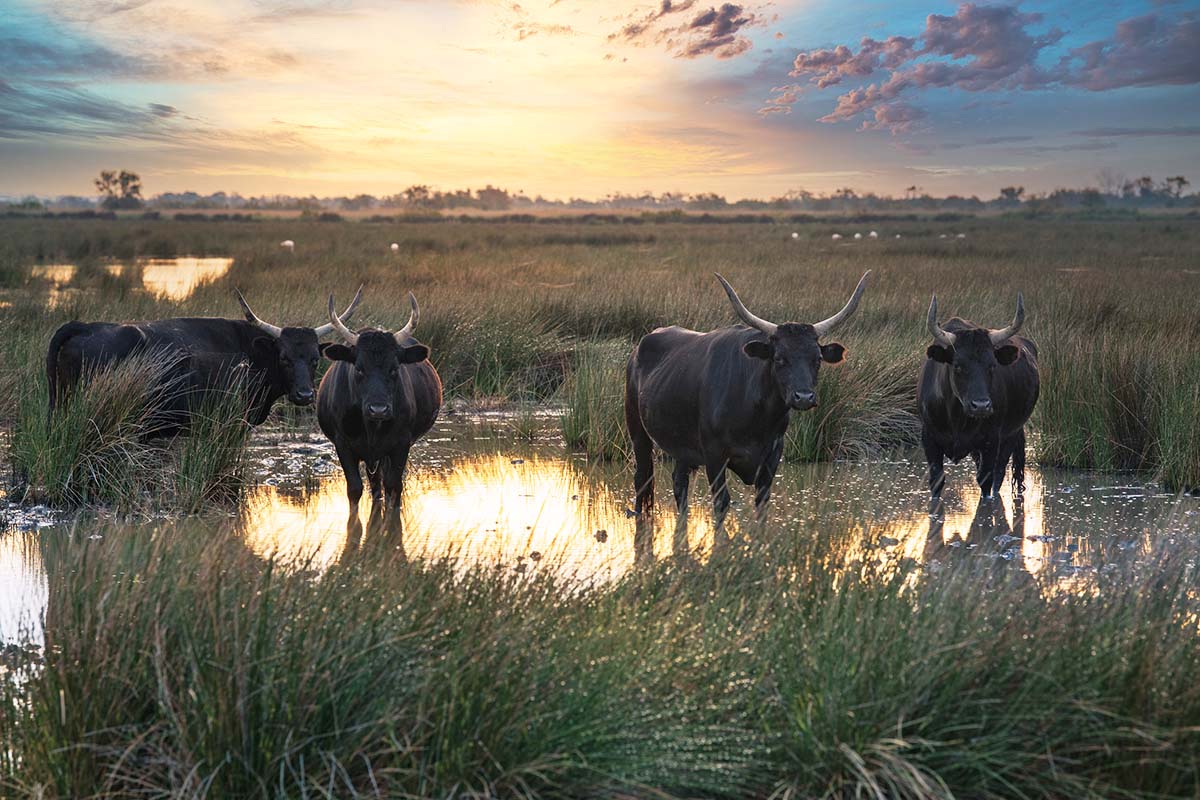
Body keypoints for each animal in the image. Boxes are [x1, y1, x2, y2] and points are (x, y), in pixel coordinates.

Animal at [316, 293, 444, 513]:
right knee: (375, 484)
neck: (371, 426)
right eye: (359, 368)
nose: (378, 410)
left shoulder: (401, 443)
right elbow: (355, 488)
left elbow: (394, 486)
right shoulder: (342, 444)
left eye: (394, 368)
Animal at [628, 272, 873, 527]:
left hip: (682, 446)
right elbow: (721, 502)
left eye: (817, 359)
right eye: (779, 358)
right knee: (642, 479)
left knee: (679, 483)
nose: (804, 397)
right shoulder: (714, 455)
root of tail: (639, 348)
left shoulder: (772, 456)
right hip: (638, 432)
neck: (757, 418)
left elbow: (762, 503)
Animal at [916, 293, 1041, 501]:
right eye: (958, 366)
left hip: (1011, 435)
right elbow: (936, 480)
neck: (956, 418)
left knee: (999, 475)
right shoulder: (929, 438)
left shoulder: (991, 441)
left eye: (992, 365)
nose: (981, 405)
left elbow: (986, 481)